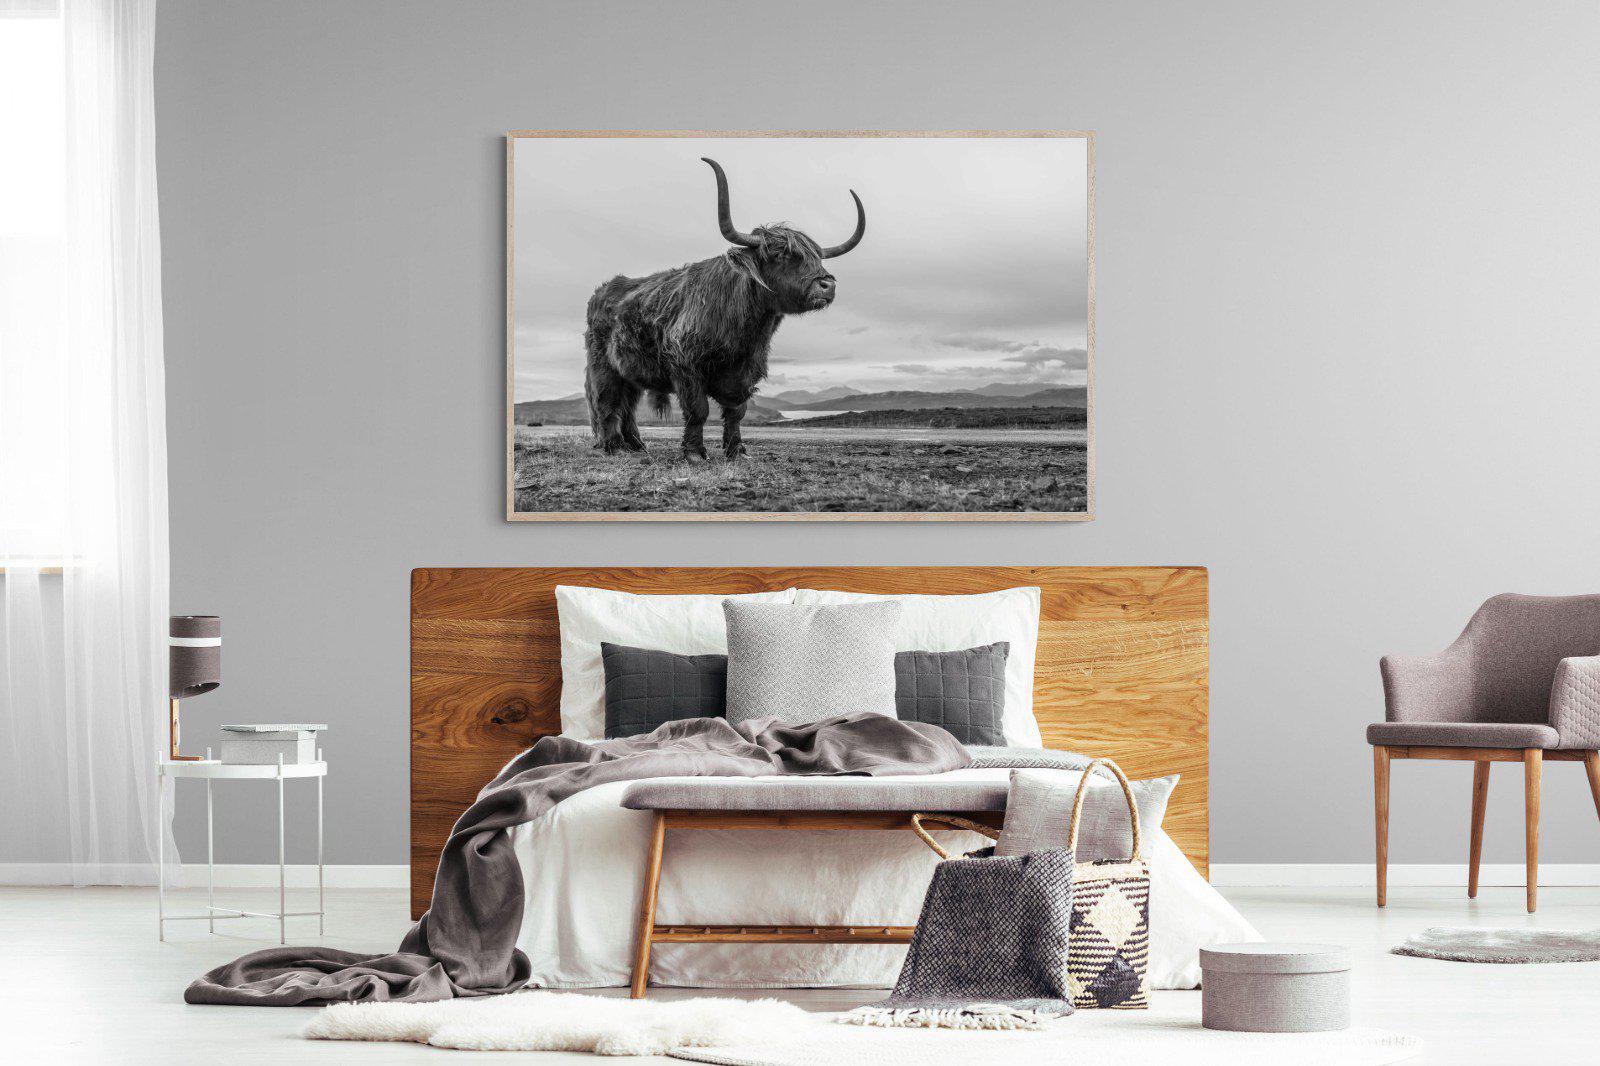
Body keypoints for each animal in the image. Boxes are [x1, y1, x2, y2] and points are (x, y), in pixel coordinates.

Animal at [583, 157, 865, 461]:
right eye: (780, 254)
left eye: (817, 257)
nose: (827, 284)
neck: (745, 332)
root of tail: (602, 291)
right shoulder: (686, 365)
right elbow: (698, 410)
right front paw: (694, 453)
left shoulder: (745, 373)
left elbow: (736, 412)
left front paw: (736, 450)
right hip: (604, 366)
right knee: (607, 401)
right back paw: (612, 445)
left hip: (631, 372)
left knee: (628, 405)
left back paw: (636, 444)